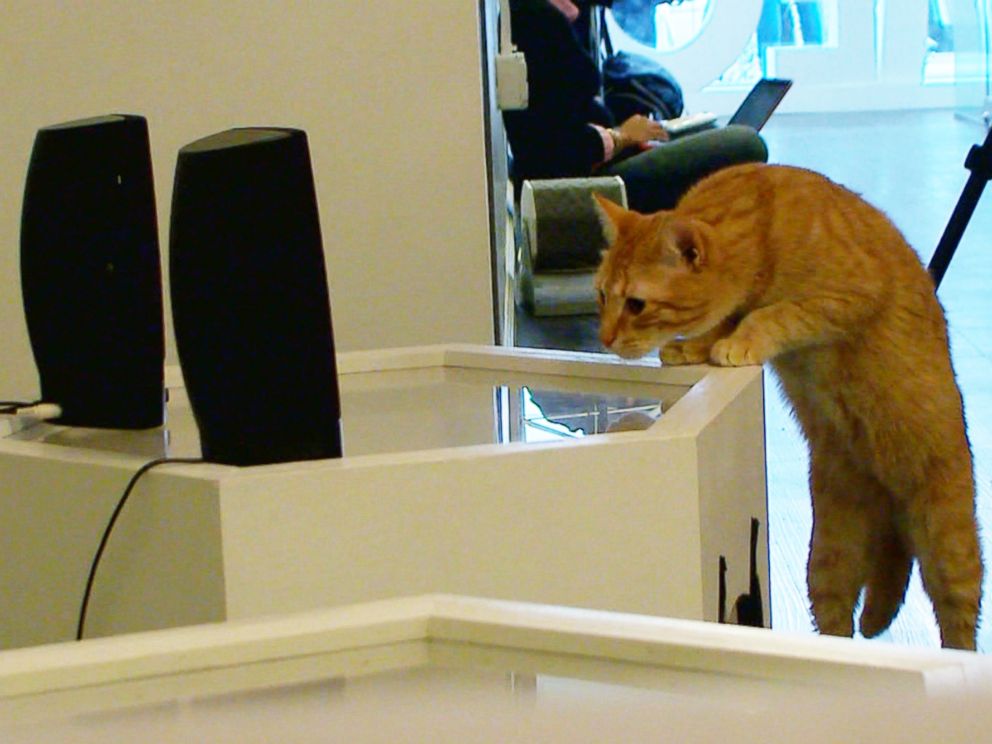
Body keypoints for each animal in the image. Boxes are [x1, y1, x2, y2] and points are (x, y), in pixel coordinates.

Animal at [592, 164, 980, 652]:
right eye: (601, 296)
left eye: (636, 304)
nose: (604, 338)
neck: (765, 224)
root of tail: (887, 496)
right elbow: (729, 318)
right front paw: (696, 346)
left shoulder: (845, 297)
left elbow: (770, 315)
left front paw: (734, 341)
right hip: (829, 558)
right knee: (841, 618)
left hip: (948, 545)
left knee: (957, 624)